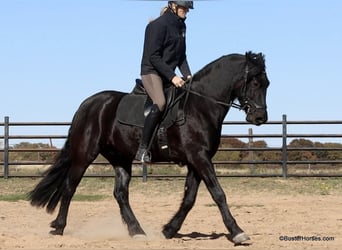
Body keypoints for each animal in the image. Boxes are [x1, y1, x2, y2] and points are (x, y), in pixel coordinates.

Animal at [28, 50, 270, 244]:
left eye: (267, 84)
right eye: (255, 83)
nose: (260, 117)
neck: (200, 106)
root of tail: (88, 104)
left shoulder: (197, 160)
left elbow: (189, 199)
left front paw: (169, 230)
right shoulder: (199, 158)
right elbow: (218, 193)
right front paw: (238, 232)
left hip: (121, 158)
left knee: (120, 194)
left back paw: (137, 231)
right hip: (84, 154)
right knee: (70, 187)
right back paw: (59, 227)